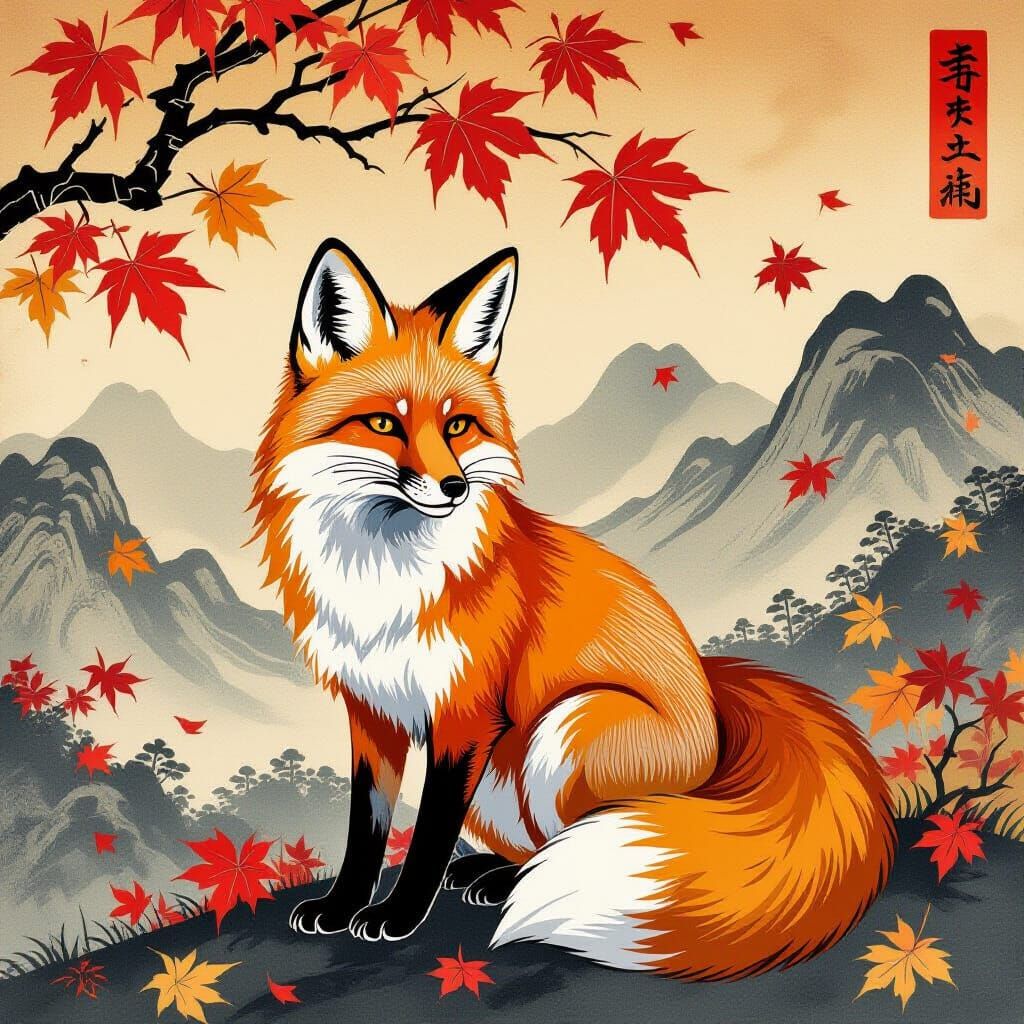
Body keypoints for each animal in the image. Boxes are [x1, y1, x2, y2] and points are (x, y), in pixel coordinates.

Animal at [250, 238, 895, 979]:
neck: (381, 584)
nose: (453, 486)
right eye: (385, 423)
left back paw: (509, 882)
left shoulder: (465, 717)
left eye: (458, 426)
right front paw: (341, 905)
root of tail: (712, 703)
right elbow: (366, 829)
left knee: (569, 839)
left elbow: (428, 835)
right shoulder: (371, 712)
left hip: (566, 727)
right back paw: (487, 873)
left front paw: (398, 915)